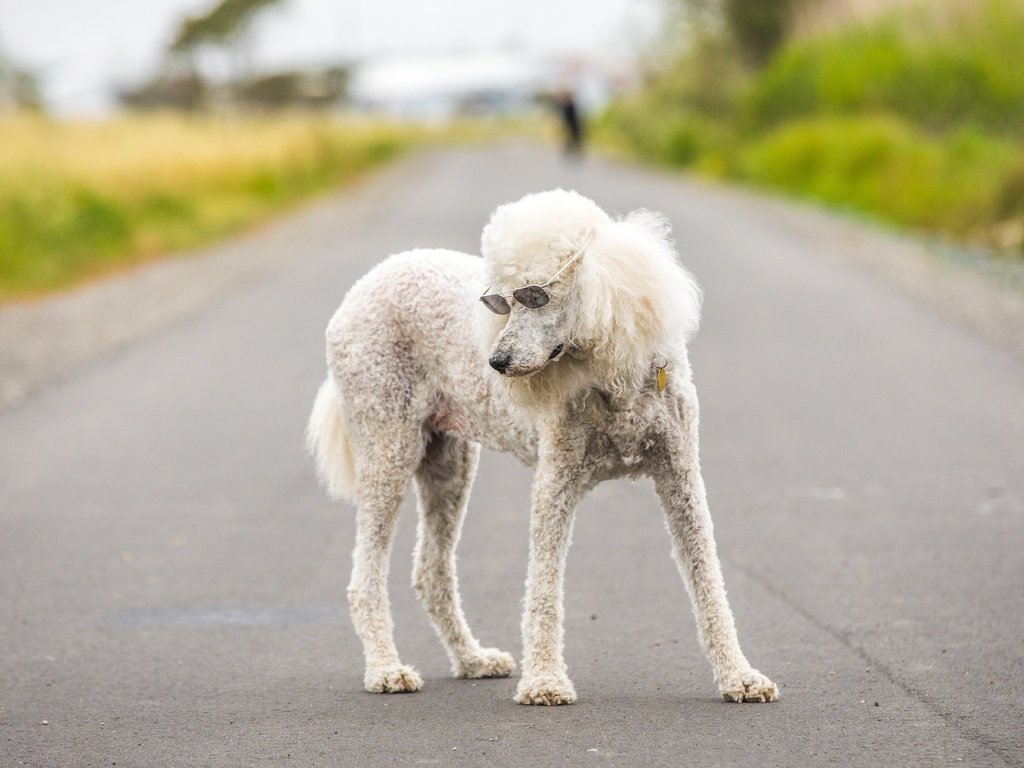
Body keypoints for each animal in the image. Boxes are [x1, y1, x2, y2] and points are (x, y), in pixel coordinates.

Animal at [303, 189, 774, 708]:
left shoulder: (680, 476)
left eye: (535, 295)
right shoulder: (555, 483)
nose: (497, 362)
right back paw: (386, 670)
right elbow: (543, 588)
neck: (606, 375)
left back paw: (473, 660)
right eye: (499, 304)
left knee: (431, 573)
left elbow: (709, 580)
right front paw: (545, 681)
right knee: (364, 579)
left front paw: (739, 676)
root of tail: (366, 283)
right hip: (388, 445)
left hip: (448, 461)